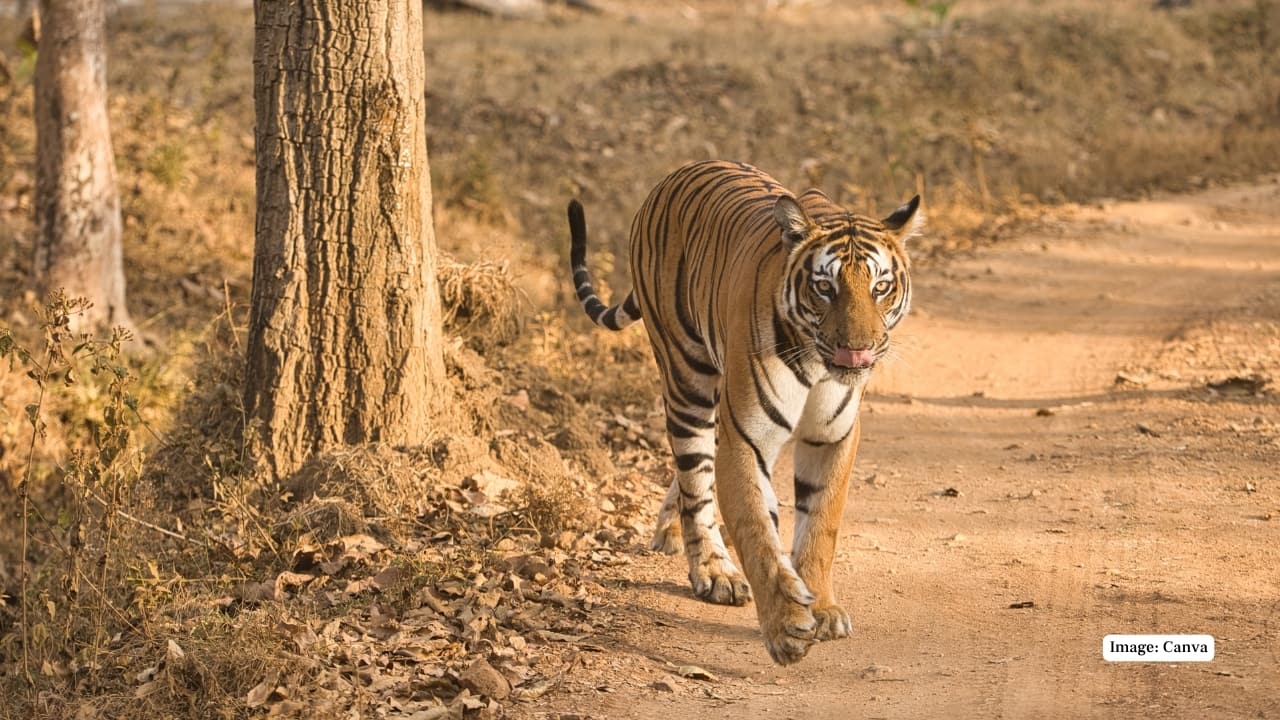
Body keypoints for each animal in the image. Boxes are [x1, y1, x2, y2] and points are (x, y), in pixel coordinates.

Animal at [567, 160, 921, 665]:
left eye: (881, 287)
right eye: (825, 287)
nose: (857, 351)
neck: (817, 365)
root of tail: (672, 176)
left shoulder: (833, 436)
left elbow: (821, 525)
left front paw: (822, 607)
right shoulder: (746, 438)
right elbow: (757, 530)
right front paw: (786, 626)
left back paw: (673, 529)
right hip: (687, 379)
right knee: (696, 477)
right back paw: (714, 570)